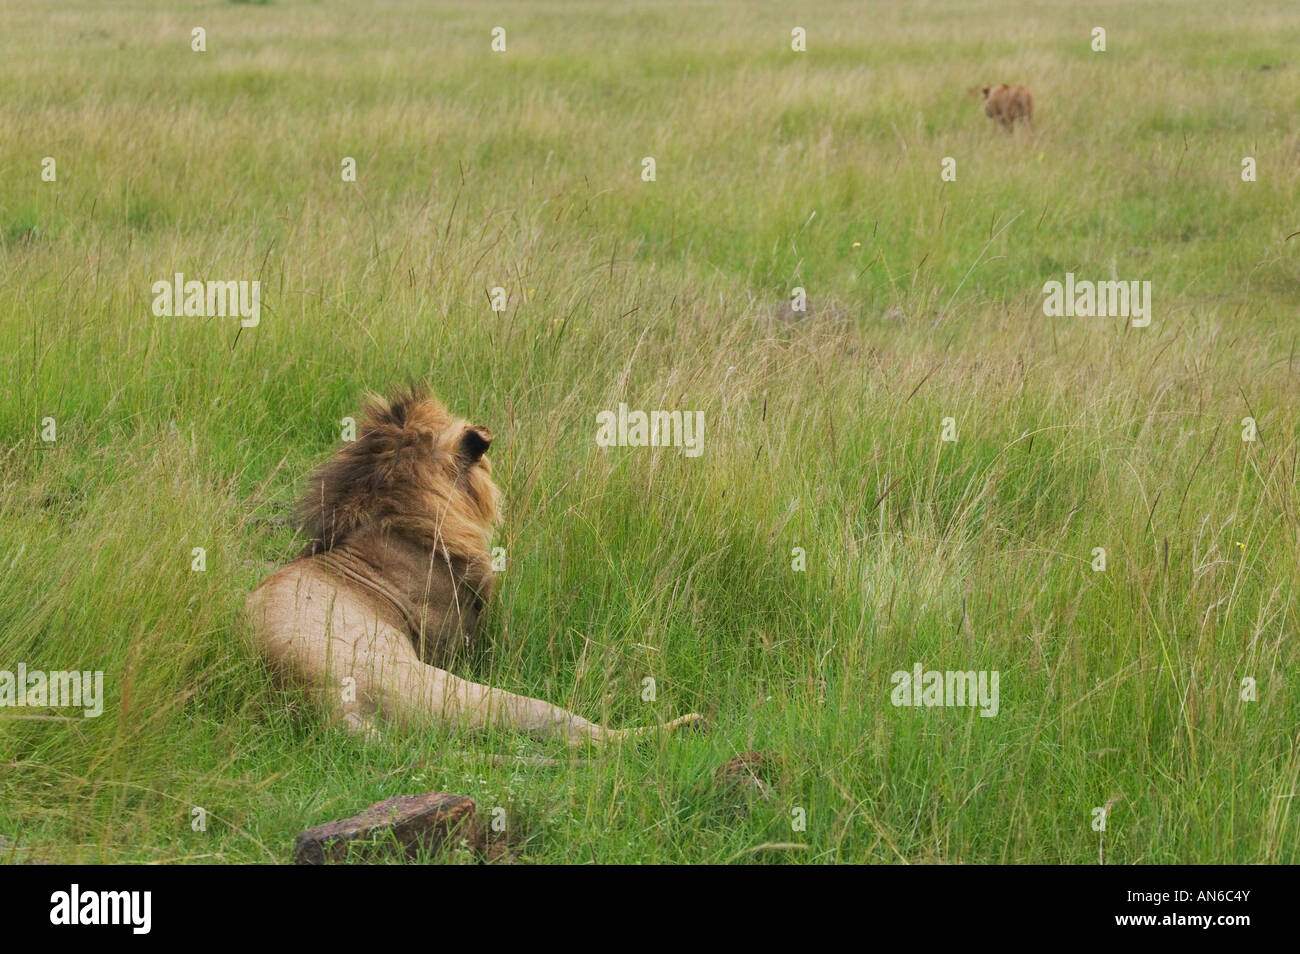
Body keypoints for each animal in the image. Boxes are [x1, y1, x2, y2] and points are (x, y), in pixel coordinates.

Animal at [248, 389, 707, 748]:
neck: (395, 516)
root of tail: (325, 704)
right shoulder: (464, 639)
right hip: (456, 692)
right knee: (580, 731)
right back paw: (684, 725)